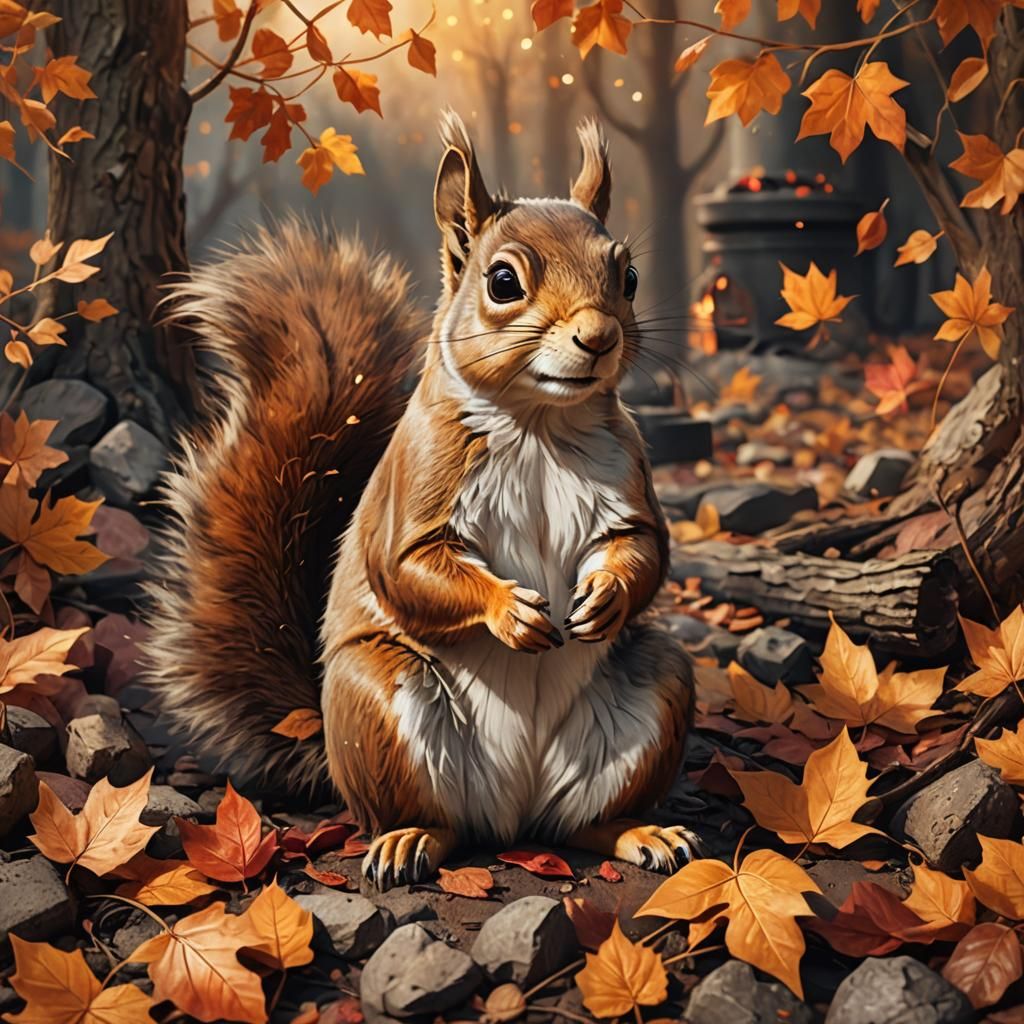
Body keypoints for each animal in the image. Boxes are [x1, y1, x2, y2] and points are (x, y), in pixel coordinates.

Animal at [146, 112, 700, 889]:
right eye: (503, 281)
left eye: (629, 275)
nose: (600, 336)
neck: (538, 425)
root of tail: (515, 815)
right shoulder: (415, 487)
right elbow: (408, 567)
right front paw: (509, 612)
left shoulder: (628, 480)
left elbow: (645, 545)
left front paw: (607, 597)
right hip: (376, 701)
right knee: (432, 819)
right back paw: (409, 840)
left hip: (657, 690)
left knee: (584, 821)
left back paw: (642, 831)